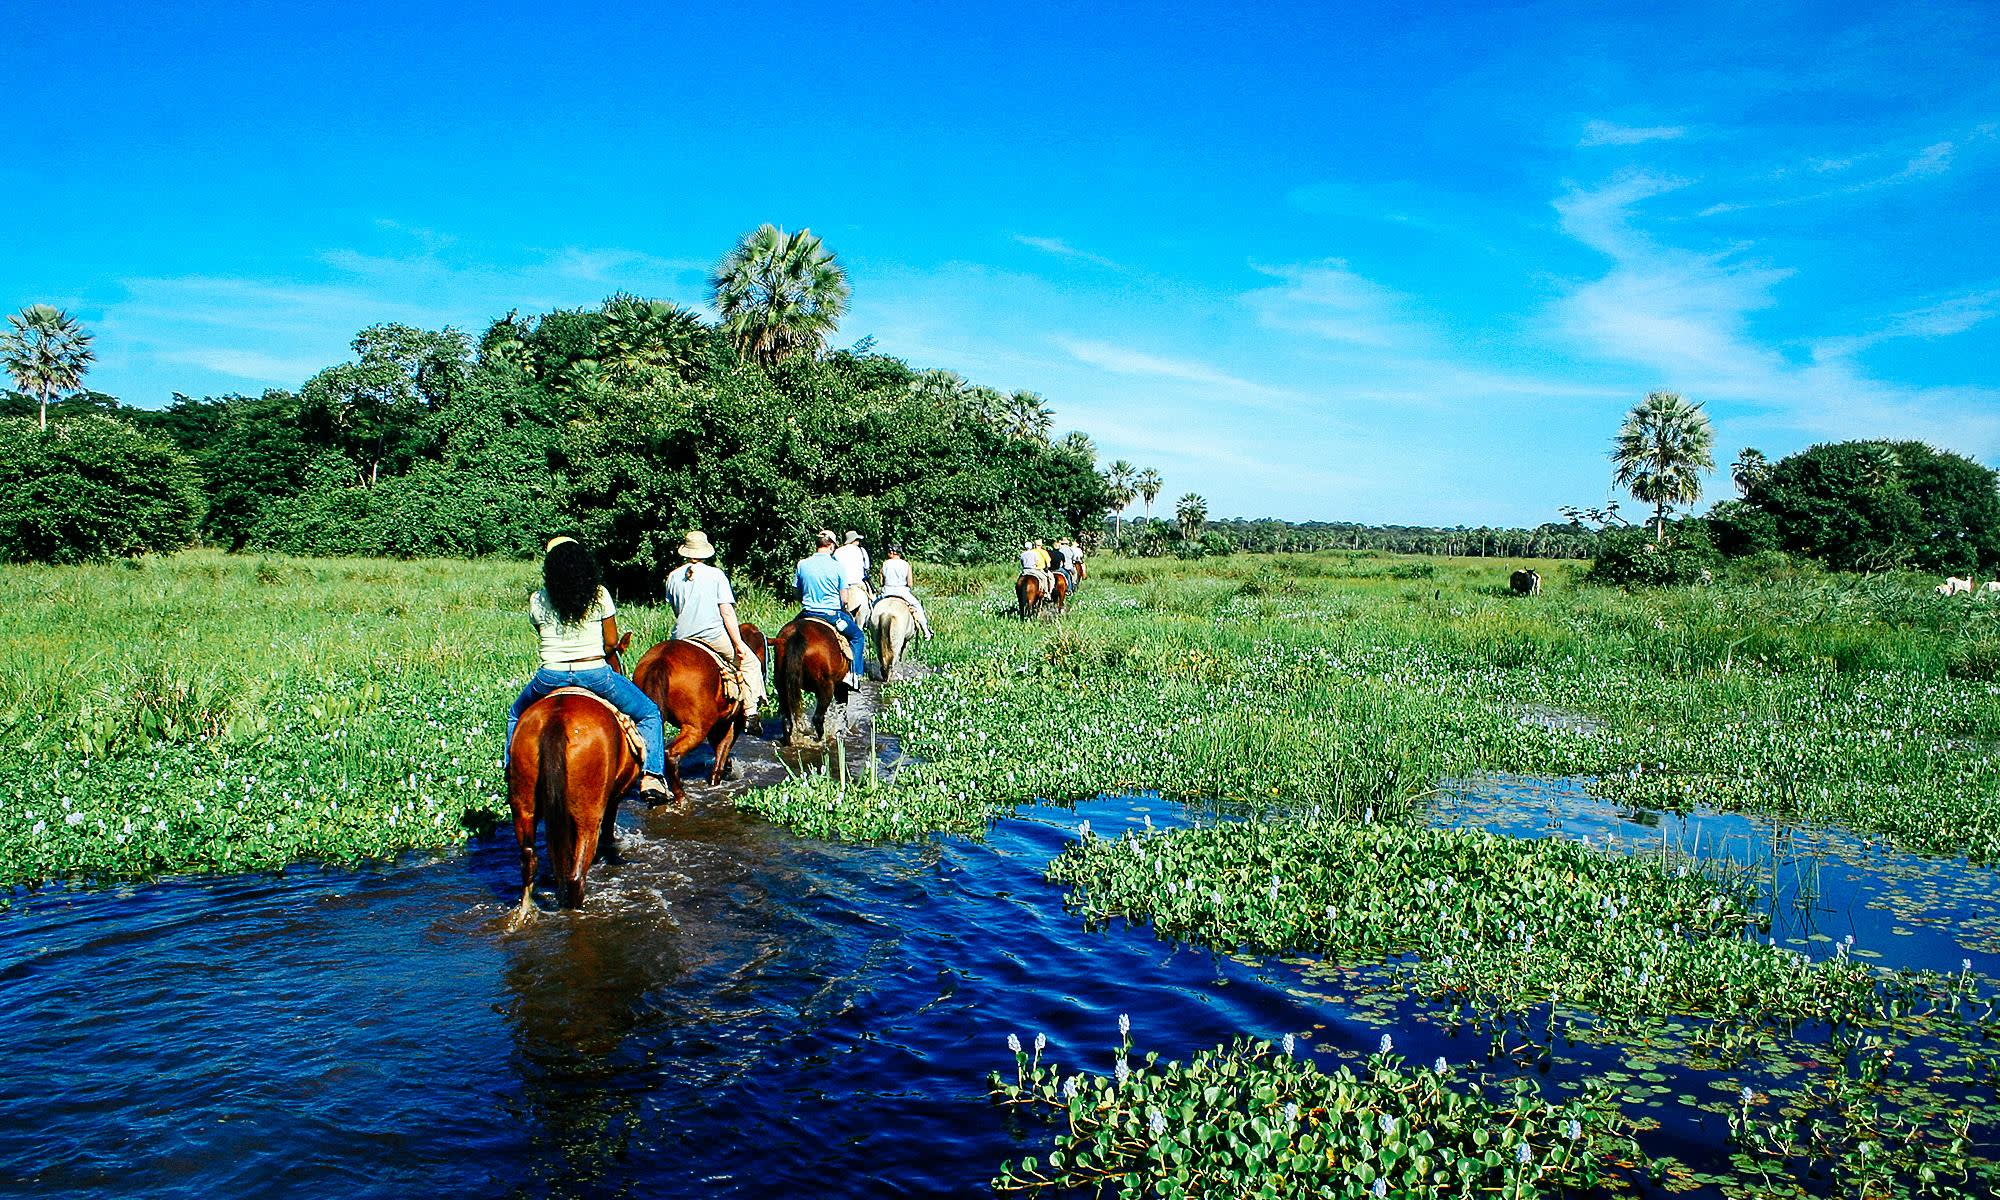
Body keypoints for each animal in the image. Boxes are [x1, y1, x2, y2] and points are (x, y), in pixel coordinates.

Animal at [504, 688, 636, 924]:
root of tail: (557, 719)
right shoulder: (613, 798)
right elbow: (608, 827)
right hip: (588, 814)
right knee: (576, 875)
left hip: (523, 805)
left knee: (528, 860)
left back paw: (524, 912)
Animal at [636, 628, 768, 808]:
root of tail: (661, 660)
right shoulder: (732, 723)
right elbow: (722, 750)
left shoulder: (716, 724)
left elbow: (718, 748)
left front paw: (728, 767)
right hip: (697, 728)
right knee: (671, 754)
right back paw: (681, 797)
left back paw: (653, 790)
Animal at [772, 616, 852, 744]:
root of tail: (798, 633)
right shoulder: (841, 685)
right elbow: (842, 708)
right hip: (827, 687)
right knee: (818, 718)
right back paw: (821, 739)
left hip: (781, 686)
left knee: (786, 719)